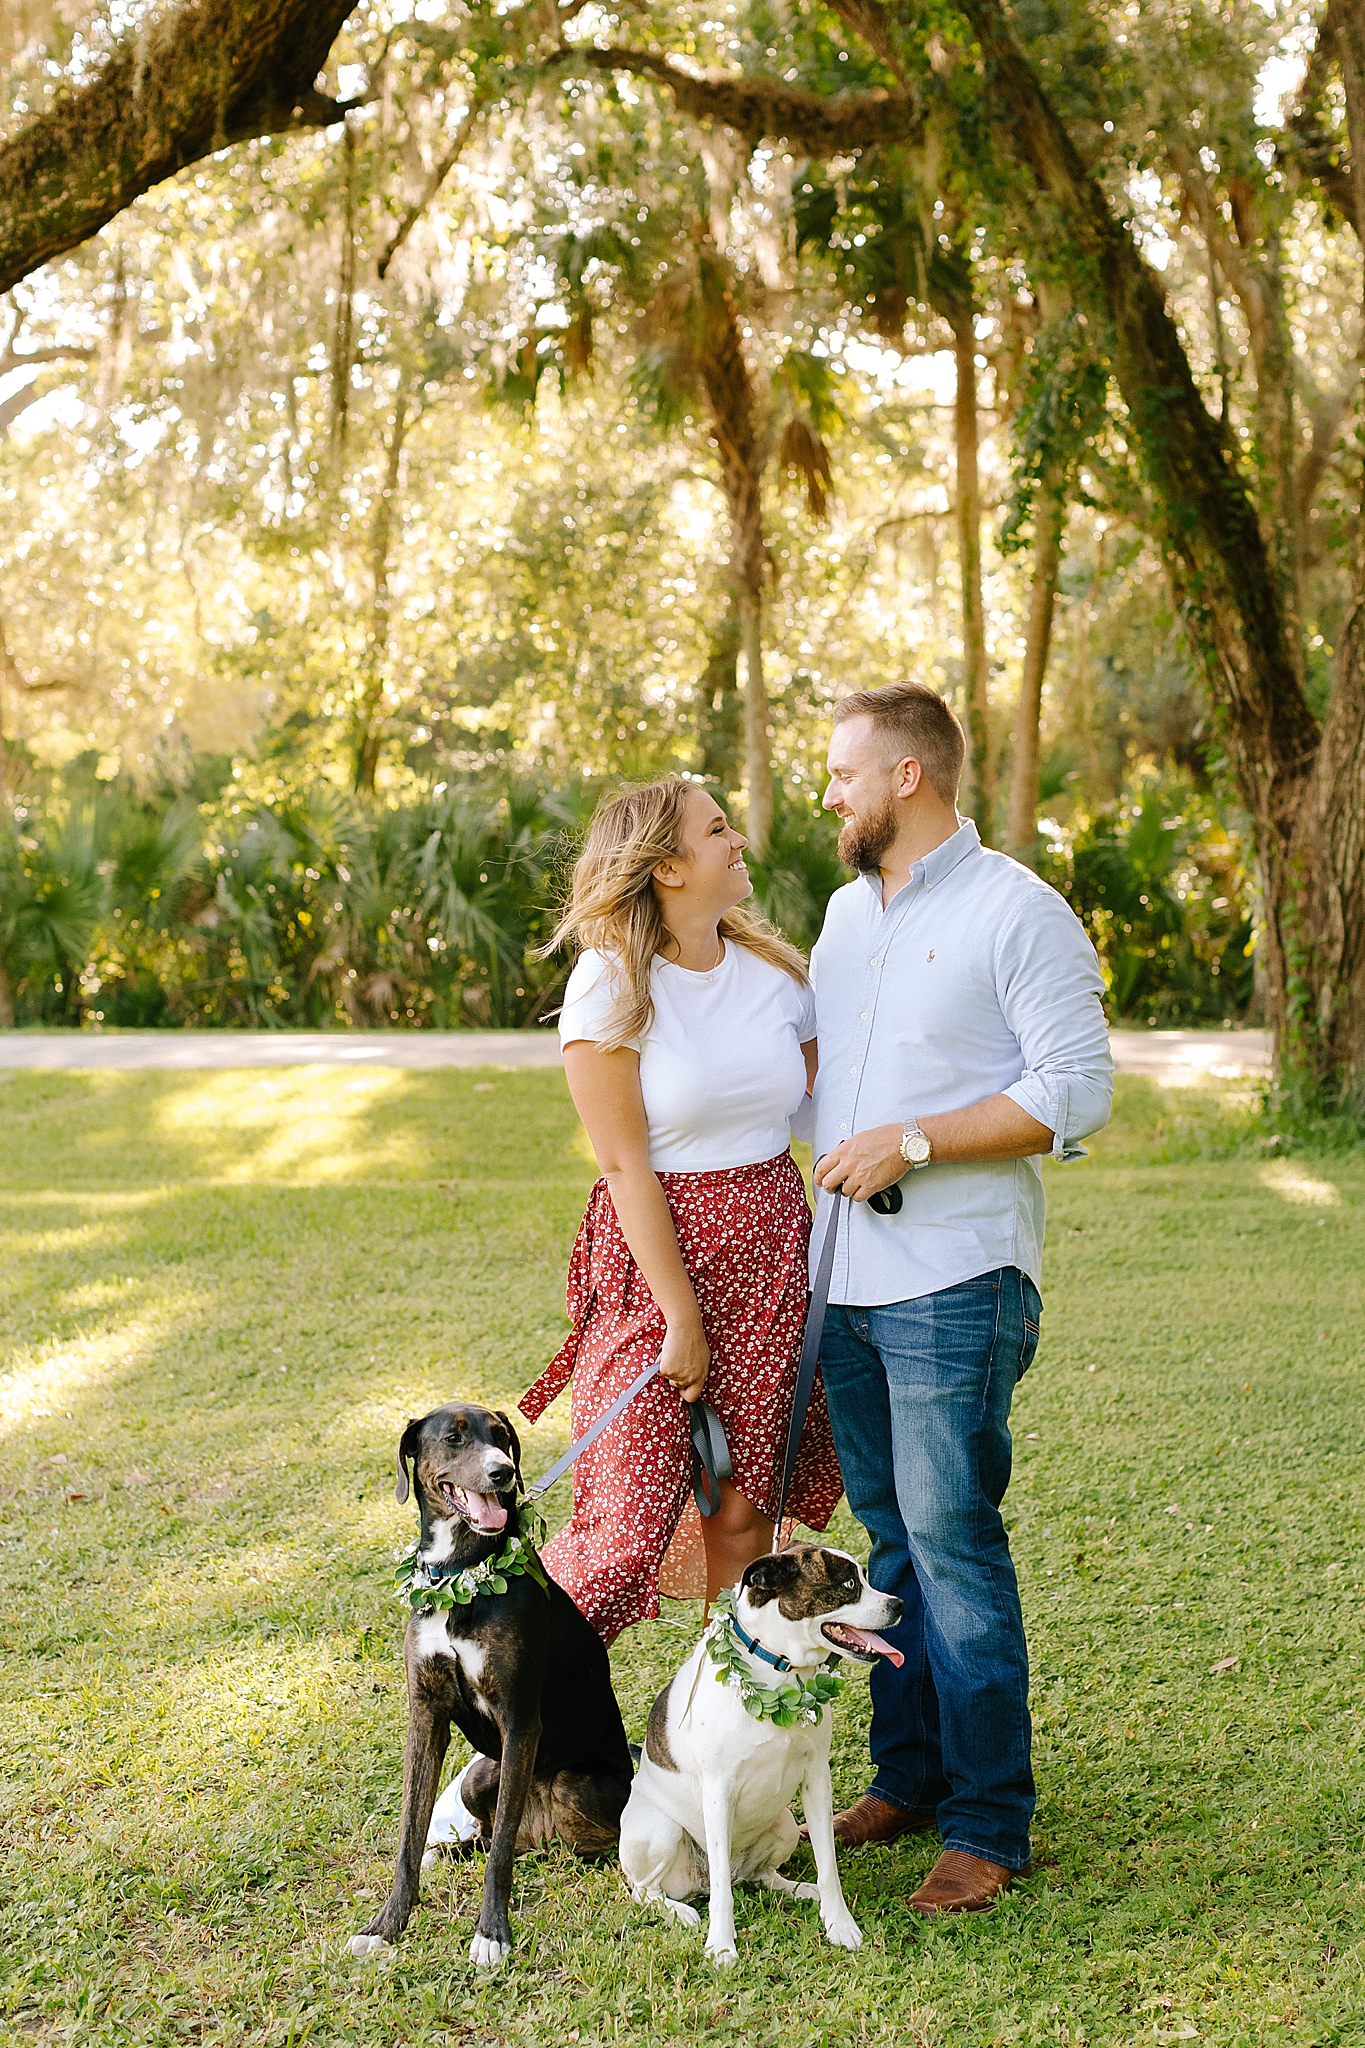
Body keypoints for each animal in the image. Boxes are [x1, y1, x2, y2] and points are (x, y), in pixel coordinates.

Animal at [349, 1400, 634, 1957]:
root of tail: (541, 1836)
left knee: (547, 1840)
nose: (502, 1472)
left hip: (575, 1783)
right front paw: (386, 1927)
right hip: (480, 1776)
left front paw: (491, 1933)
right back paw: (452, 1851)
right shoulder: (426, 1717)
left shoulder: (519, 1719)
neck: (460, 1574)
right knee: (487, 1834)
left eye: (503, 1437)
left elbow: (500, 1847)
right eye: (454, 1439)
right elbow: (409, 1835)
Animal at [622, 1540, 908, 1957]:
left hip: (785, 1824)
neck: (778, 1669)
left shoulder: (816, 1779)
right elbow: (721, 1894)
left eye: (864, 1577)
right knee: (650, 1890)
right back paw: (681, 1911)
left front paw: (839, 1923)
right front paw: (722, 1946)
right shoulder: (718, 1792)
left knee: (759, 1876)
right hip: (662, 1831)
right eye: (848, 1584)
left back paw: (799, 1889)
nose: (899, 1604)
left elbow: (828, 1865)